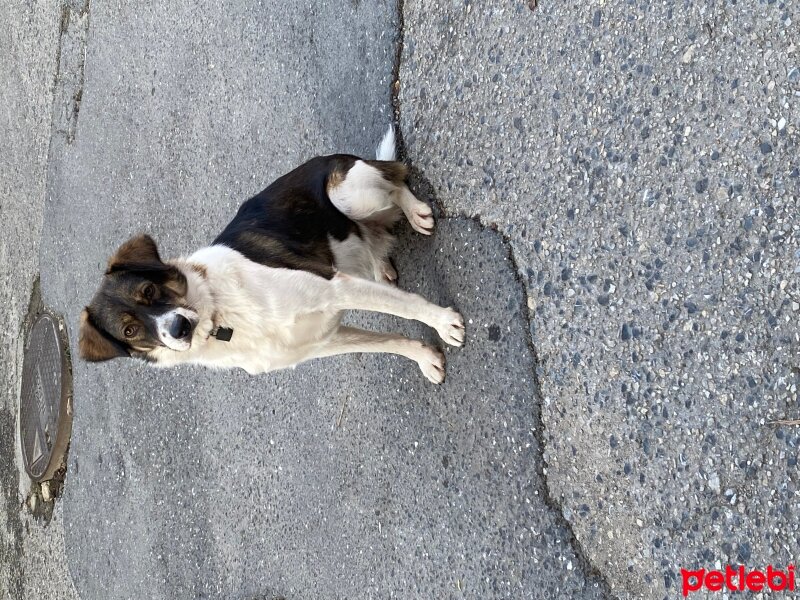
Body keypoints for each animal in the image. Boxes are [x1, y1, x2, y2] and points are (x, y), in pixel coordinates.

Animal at [78, 129, 466, 384]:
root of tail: (337, 157)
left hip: (351, 195)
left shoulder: (334, 288)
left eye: (148, 290)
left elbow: (408, 306)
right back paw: (380, 263)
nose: (178, 328)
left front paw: (444, 322)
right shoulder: (321, 341)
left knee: (396, 181)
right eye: (129, 330)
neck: (223, 318)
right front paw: (424, 357)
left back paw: (415, 212)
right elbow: (389, 342)